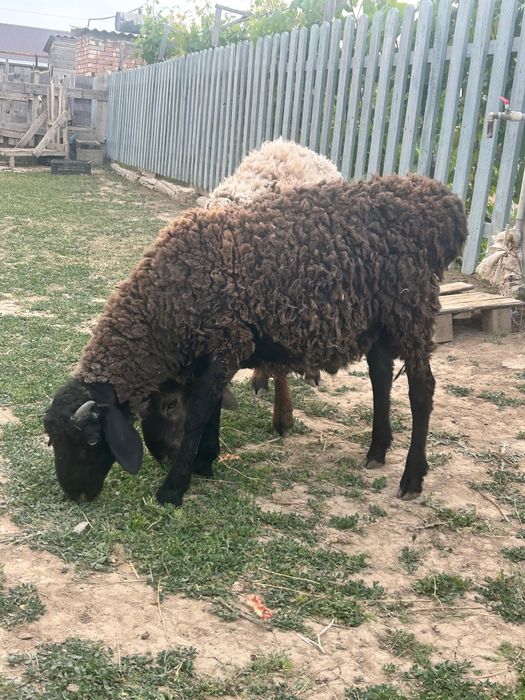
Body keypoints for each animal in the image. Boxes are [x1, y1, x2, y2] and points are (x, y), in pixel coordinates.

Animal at [44, 173, 467, 507]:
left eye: (92, 442)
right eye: (53, 441)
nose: (75, 495)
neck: (169, 300)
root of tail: (443, 204)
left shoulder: (226, 342)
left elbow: (200, 412)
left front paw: (174, 488)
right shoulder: (217, 350)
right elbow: (211, 405)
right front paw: (204, 462)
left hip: (411, 311)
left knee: (422, 390)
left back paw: (412, 478)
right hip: (378, 320)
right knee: (381, 377)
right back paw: (377, 451)